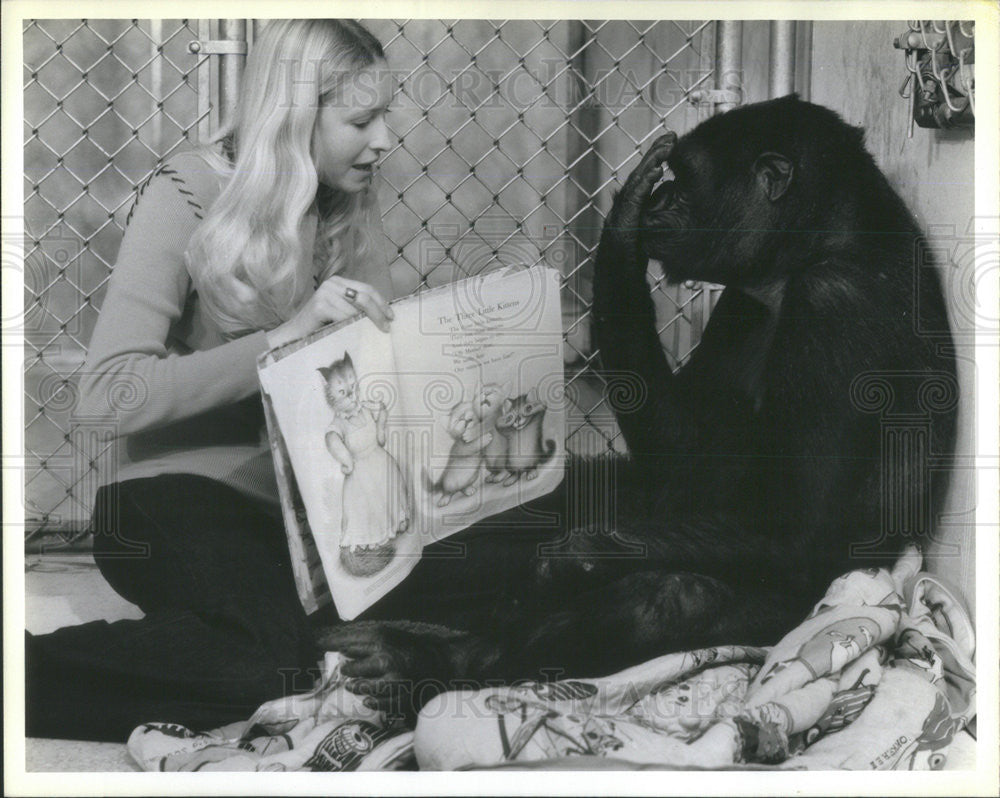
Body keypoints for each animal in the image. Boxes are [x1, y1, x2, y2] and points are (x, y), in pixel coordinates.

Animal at [316, 95, 956, 720]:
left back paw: (427, 661)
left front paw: (573, 558)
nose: (661, 197)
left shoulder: (833, 309)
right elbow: (686, 450)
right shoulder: (740, 303)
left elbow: (796, 524)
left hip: (810, 612)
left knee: (668, 603)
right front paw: (624, 222)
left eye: (684, 179)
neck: (809, 250)